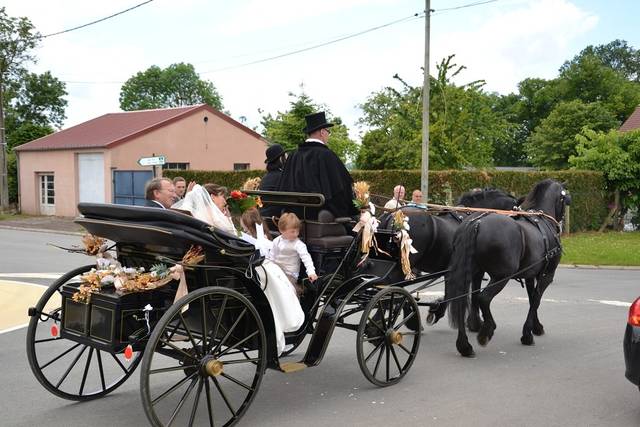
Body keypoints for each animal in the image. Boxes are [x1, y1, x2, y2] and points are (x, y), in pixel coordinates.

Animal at [444, 180, 568, 358]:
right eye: (565, 200)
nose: (561, 223)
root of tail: (476, 223)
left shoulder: (530, 275)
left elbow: (531, 299)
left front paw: (536, 327)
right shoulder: (546, 275)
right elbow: (536, 300)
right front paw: (527, 334)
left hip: (470, 273)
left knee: (462, 301)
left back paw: (464, 345)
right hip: (501, 276)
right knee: (484, 298)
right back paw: (486, 330)